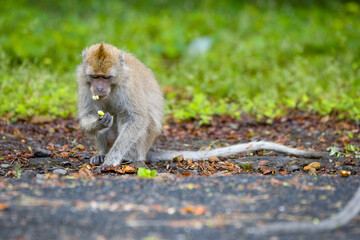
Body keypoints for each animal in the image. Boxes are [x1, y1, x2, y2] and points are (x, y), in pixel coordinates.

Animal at [76, 42, 326, 171]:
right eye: (95, 77)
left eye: (106, 77)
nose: (99, 88)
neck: (115, 84)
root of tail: (146, 150)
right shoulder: (82, 81)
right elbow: (89, 114)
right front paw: (99, 123)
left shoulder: (129, 85)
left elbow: (136, 118)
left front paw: (113, 159)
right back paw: (102, 153)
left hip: (143, 142)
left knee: (130, 120)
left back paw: (131, 158)